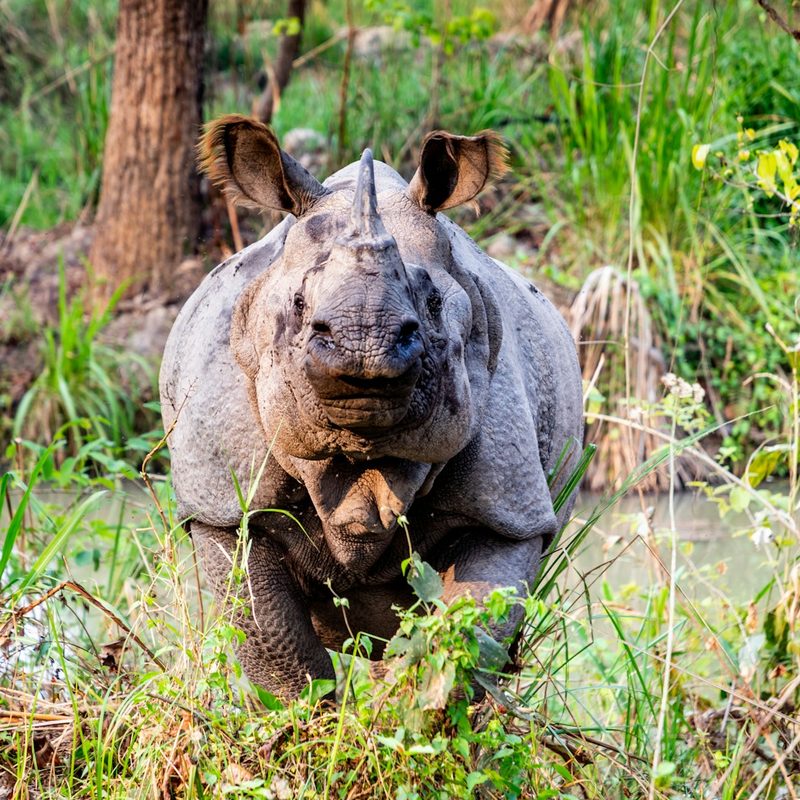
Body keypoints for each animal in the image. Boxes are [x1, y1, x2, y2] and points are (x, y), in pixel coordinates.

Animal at [159, 115, 584, 699]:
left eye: (433, 303)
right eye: (298, 304)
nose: (365, 345)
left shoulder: (507, 509)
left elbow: (467, 633)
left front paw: (405, 707)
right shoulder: (225, 502)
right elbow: (277, 648)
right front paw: (314, 719)